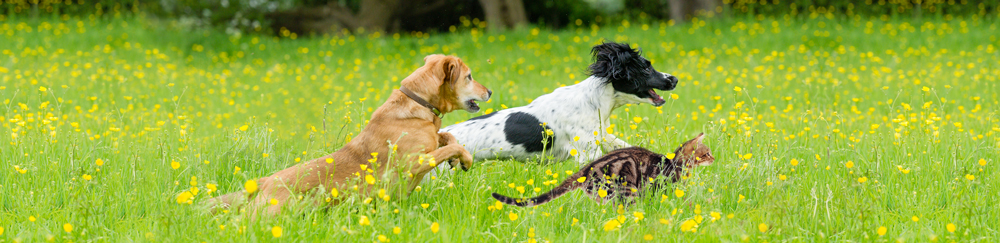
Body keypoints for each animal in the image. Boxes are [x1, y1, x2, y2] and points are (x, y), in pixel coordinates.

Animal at [208, 54, 492, 215]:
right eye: (469, 76)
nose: (489, 91)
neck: (419, 103)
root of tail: (264, 181)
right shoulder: (413, 163)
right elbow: (450, 146)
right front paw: (465, 159)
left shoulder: (432, 140)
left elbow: (448, 139)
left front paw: (459, 158)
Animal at [490, 134, 712, 206]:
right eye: (707, 153)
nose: (715, 158)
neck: (676, 163)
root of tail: (585, 169)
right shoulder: (659, 186)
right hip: (623, 189)